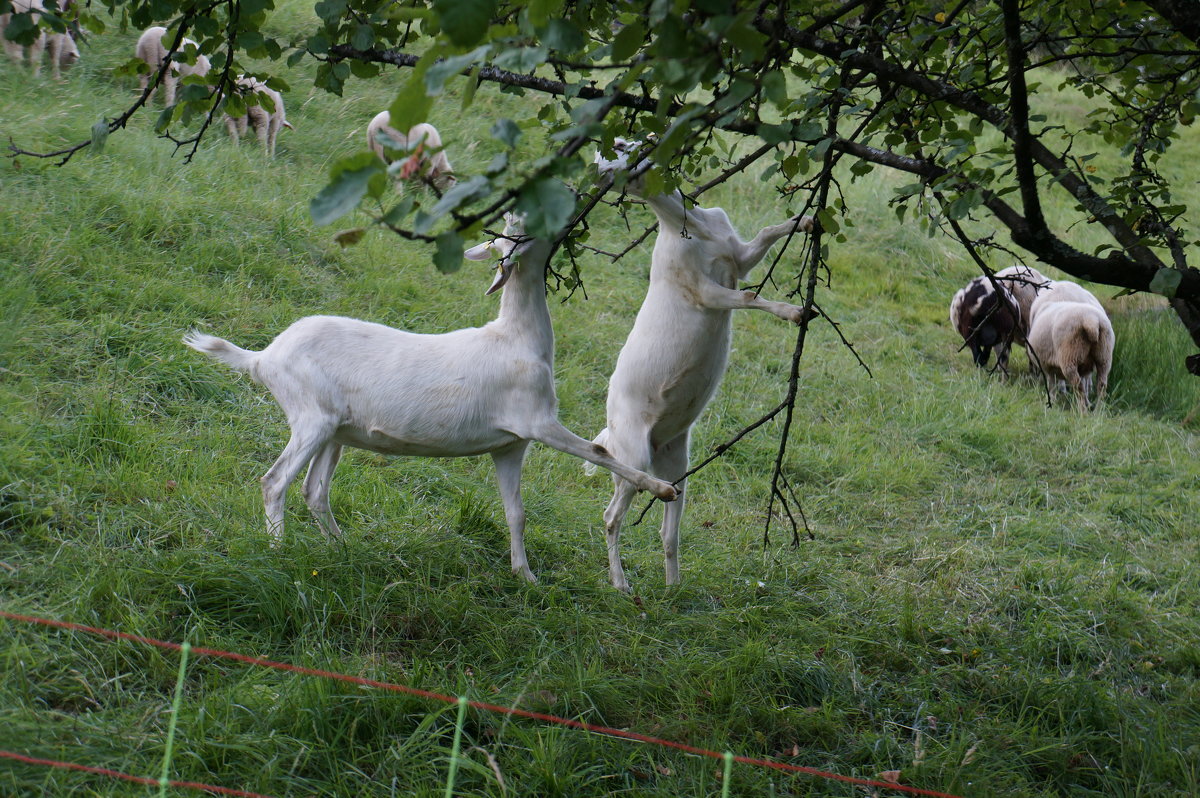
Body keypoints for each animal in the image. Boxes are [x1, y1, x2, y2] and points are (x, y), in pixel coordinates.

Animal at [183, 211, 681, 583]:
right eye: (518, 227)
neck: (516, 340)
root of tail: (262, 357)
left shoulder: (510, 444)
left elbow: (516, 512)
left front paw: (525, 576)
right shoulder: (538, 421)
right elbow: (600, 451)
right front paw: (664, 489)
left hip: (336, 431)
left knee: (314, 490)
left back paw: (344, 548)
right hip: (310, 417)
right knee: (274, 481)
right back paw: (280, 551)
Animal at [590, 136, 816, 590]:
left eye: (621, 142)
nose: (622, 172)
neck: (693, 226)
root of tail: (609, 432)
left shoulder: (739, 257)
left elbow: (765, 234)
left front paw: (805, 222)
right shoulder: (702, 290)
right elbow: (748, 297)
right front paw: (796, 313)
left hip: (676, 462)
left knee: (668, 528)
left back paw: (673, 587)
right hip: (632, 455)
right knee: (610, 516)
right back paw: (621, 584)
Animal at [1022, 279, 1113, 410]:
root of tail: (1091, 320)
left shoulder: (1047, 364)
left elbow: (1052, 384)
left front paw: (1052, 401)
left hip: (1070, 357)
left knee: (1078, 385)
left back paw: (1082, 410)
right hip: (1104, 355)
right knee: (1101, 385)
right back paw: (1098, 409)